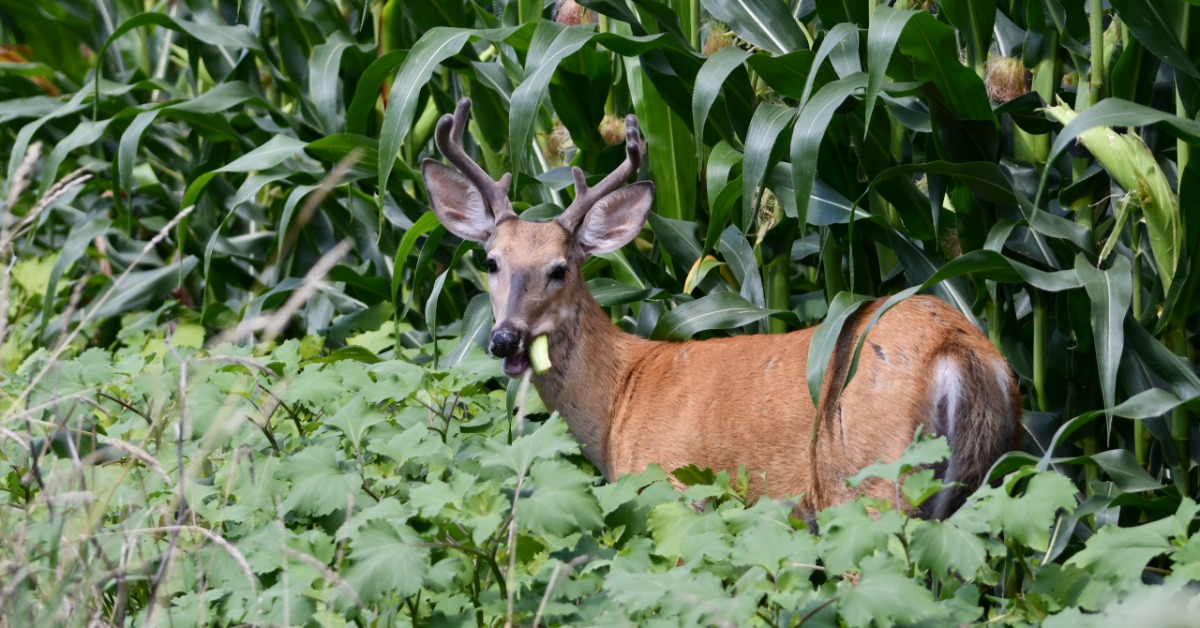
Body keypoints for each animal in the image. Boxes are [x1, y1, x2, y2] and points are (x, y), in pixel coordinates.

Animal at [421, 98, 1021, 520]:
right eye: (492, 261)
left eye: (560, 269)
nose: (505, 338)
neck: (618, 403)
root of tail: (960, 351)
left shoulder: (673, 488)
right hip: (978, 481)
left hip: (874, 479)